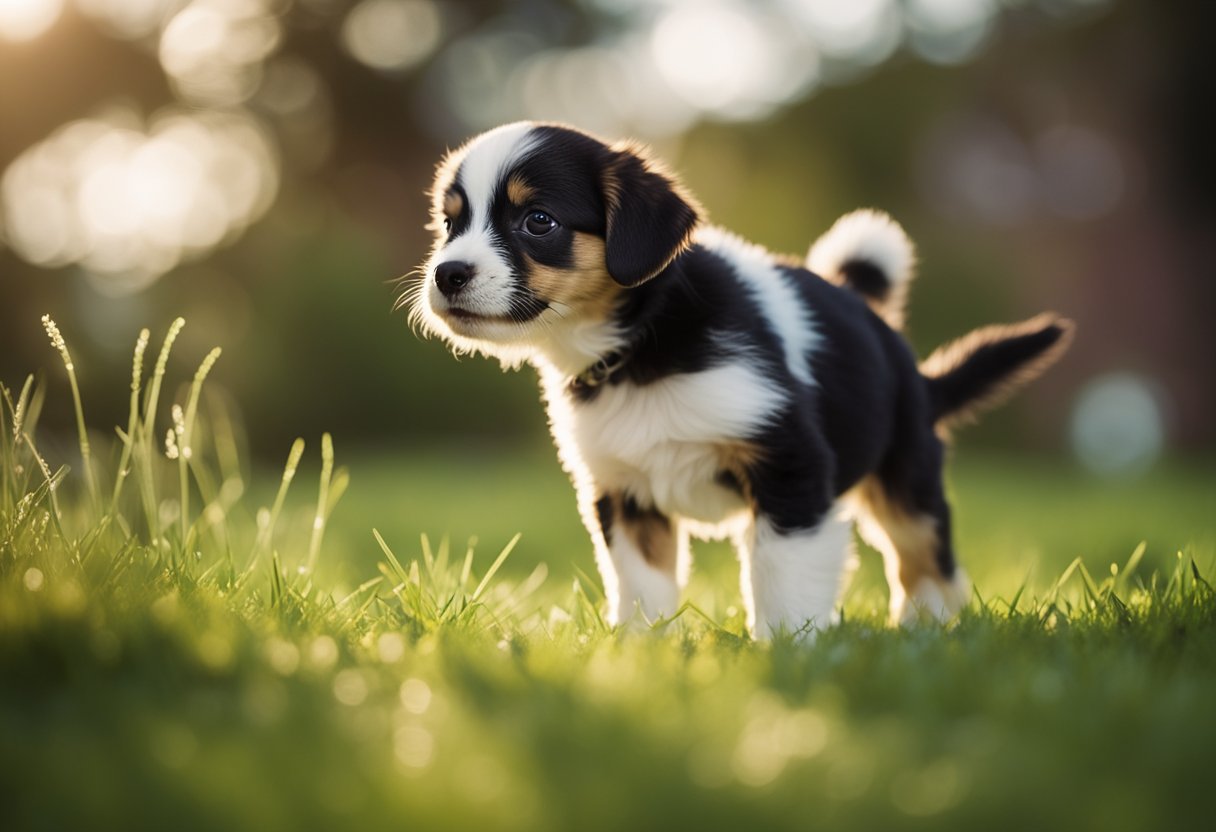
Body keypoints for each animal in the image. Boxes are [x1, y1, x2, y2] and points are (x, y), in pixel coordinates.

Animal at [411, 121, 1074, 637]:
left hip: (906, 477)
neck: (642, 343)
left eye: (539, 221)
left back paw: (926, 633)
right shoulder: (622, 494)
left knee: (925, 559)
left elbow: (780, 577)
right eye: (450, 223)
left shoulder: (790, 467)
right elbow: (641, 586)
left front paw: (788, 655)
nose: (447, 274)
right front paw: (638, 654)